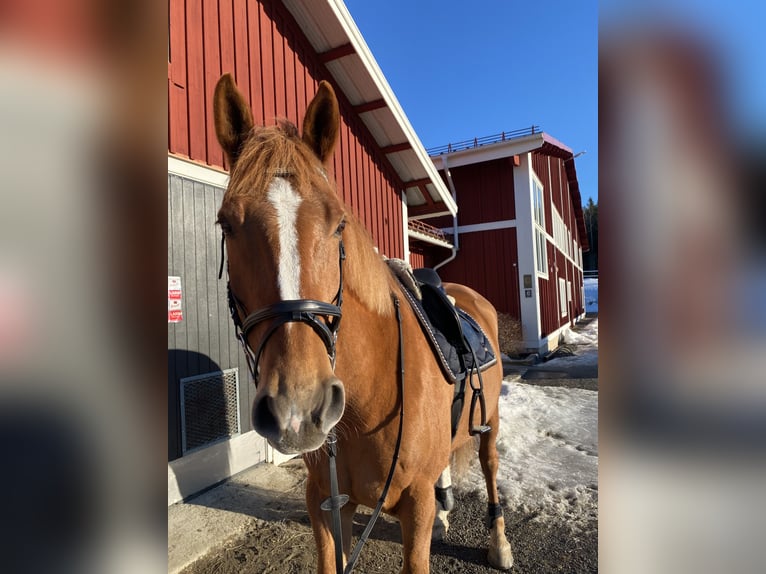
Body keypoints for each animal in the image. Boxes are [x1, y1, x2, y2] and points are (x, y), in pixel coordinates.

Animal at [213, 73, 512, 574]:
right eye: (226, 224)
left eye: (338, 224)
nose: (299, 408)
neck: (371, 393)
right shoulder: (327, 503)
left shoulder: (414, 506)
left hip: (489, 420)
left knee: (490, 468)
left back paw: (500, 542)